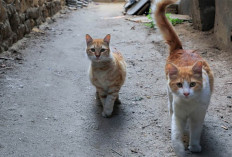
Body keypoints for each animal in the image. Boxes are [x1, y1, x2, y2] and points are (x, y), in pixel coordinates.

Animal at [155, 0, 215, 156]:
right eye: (179, 85)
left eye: (193, 84)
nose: (186, 93)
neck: (189, 104)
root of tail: (180, 49)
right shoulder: (178, 116)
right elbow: (176, 135)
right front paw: (180, 150)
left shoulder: (198, 116)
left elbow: (195, 132)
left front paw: (194, 146)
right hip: (169, 96)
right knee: (170, 107)